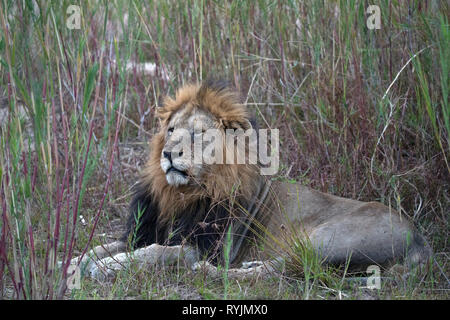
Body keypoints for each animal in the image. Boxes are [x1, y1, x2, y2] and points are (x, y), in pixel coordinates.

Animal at [66, 79, 428, 280]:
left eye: (199, 134)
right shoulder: (143, 230)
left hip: (327, 239)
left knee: (281, 271)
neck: (181, 195)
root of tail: (421, 242)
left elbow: (153, 253)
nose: (168, 153)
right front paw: (75, 261)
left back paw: (213, 274)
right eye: (170, 130)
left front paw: (107, 267)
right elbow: (104, 246)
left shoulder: (200, 248)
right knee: (285, 266)